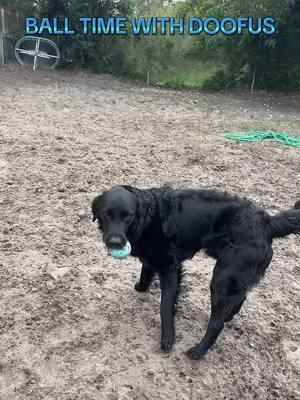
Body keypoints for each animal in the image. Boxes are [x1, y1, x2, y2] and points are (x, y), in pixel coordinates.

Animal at [92, 186, 300, 360]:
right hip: (234, 277)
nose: (115, 242)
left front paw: (168, 338)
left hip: (222, 278)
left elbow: (165, 306)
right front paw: (141, 287)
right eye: (106, 213)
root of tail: (268, 222)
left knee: (216, 323)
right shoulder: (151, 258)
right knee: (240, 297)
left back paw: (198, 351)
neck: (149, 219)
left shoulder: (170, 267)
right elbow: (146, 271)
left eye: (128, 216)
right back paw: (230, 315)